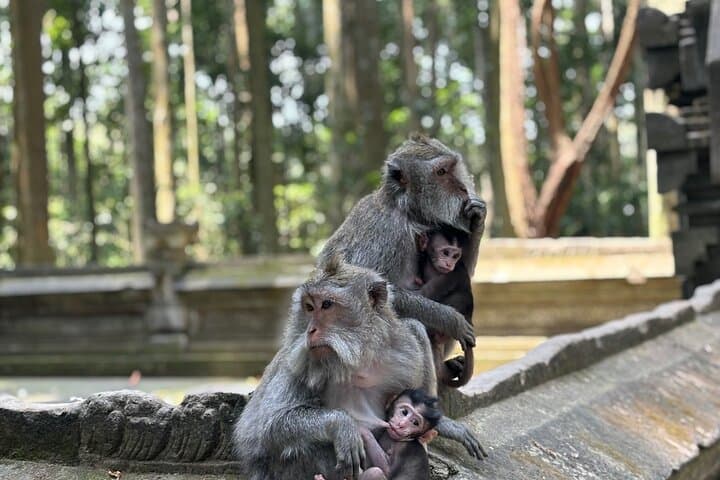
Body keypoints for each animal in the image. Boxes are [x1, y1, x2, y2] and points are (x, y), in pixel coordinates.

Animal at [233, 256, 488, 480]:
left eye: (326, 304)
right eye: (309, 307)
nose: (310, 330)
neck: (357, 357)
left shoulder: (403, 351)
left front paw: (441, 424)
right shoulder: (297, 362)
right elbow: (268, 427)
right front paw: (343, 425)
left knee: (414, 325)